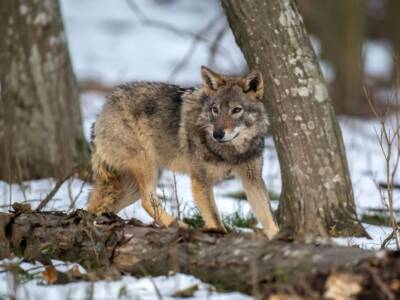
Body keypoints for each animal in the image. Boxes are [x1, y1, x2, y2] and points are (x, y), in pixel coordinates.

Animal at [88, 66, 278, 239]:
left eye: (236, 110)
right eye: (215, 110)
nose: (217, 134)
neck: (231, 152)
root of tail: (102, 109)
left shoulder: (253, 179)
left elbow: (269, 219)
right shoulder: (200, 180)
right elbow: (215, 220)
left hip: (130, 187)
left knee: (97, 207)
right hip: (145, 167)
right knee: (147, 200)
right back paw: (180, 226)